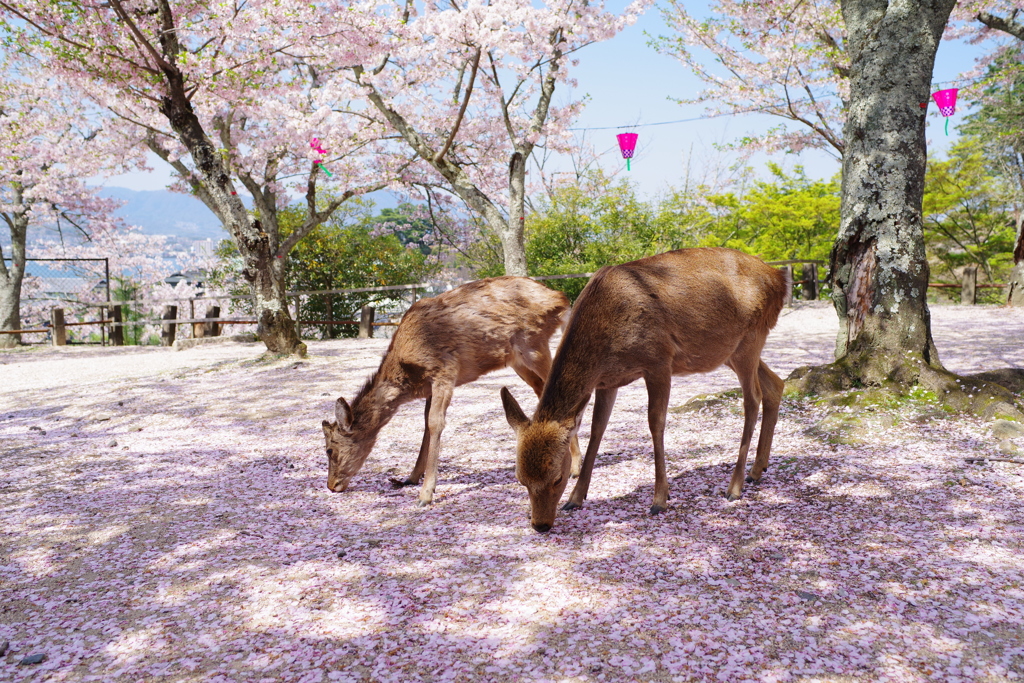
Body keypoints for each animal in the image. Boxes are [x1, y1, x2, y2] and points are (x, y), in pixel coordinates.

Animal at [319, 274, 581, 505]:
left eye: (330, 450)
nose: (331, 486)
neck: (409, 372)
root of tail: (561, 298)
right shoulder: (429, 387)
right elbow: (425, 426)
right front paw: (410, 478)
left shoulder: (444, 371)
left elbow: (436, 423)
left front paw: (426, 494)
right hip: (518, 360)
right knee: (541, 390)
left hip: (533, 343)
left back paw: (576, 467)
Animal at [501, 246, 782, 532]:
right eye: (520, 479)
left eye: (558, 477)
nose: (540, 524)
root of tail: (779, 279)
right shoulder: (607, 381)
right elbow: (597, 429)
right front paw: (576, 498)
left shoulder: (659, 361)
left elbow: (655, 423)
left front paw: (660, 499)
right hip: (730, 352)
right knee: (775, 384)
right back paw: (757, 470)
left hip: (751, 337)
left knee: (753, 398)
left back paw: (734, 486)